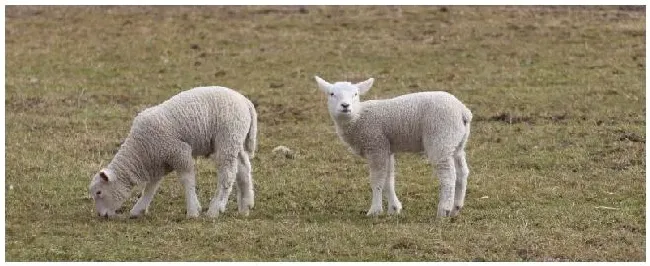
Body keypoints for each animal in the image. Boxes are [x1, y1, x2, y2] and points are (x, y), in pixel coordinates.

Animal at [88, 86, 256, 219]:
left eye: (99, 192)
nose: (101, 215)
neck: (140, 151)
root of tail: (245, 102)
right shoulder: (159, 162)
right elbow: (151, 187)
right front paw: (138, 209)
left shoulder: (179, 152)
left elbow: (187, 181)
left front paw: (193, 211)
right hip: (236, 141)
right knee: (243, 169)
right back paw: (245, 207)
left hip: (227, 138)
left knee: (227, 175)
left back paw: (215, 210)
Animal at [314, 76, 470, 217]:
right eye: (332, 94)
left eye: (356, 94)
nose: (345, 106)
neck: (358, 117)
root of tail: (463, 111)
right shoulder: (385, 148)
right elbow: (389, 179)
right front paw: (394, 208)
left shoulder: (375, 145)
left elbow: (377, 180)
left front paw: (375, 210)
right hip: (456, 143)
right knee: (462, 172)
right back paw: (456, 208)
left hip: (441, 138)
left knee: (448, 175)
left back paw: (444, 210)